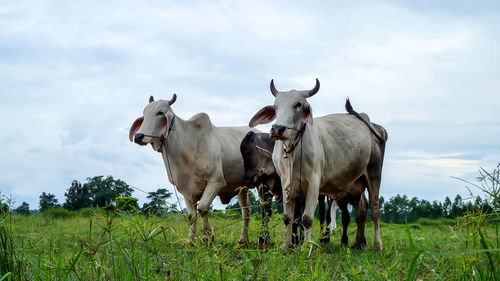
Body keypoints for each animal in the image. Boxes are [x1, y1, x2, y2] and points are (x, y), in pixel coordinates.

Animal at [130, 94, 258, 243]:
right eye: (144, 113)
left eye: (160, 112)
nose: (139, 136)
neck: (187, 144)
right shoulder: (185, 188)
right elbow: (192, 215)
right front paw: (190, 241)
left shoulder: (216, 181)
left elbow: (203, 208)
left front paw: (207, 236)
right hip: (242, 187)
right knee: (246, 210)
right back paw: (243, 240)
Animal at [249, 79, 386, 249]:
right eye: (276, 106)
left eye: (298, 104)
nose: (277, 129)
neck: (293, 150)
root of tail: (366, 120)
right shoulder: (286, 183)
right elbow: (288, 218)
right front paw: (285, 246)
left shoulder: (314, 183)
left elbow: (307, 218)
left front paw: (306, 247)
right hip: (355, 183)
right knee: (361, 208)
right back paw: (357, 244)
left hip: (374, 172)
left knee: (375, 209)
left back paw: (378, 245)